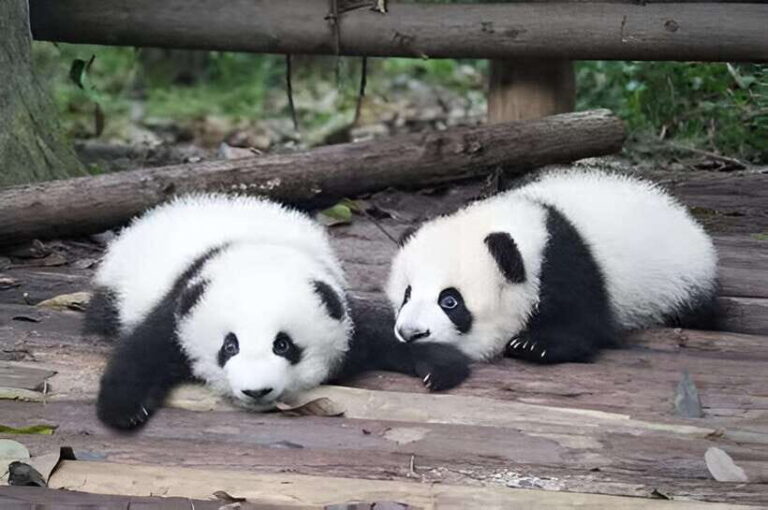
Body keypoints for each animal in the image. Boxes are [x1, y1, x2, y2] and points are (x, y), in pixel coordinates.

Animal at [86, 194, 470, 430]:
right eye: (229, 346)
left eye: (283, 345)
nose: (256, 391)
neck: (259, 250)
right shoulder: (183, 300)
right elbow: (144, 348)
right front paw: (125, 410)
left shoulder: (336, 303)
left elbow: (381, 332)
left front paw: (440, 366)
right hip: (118, 283)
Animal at [386, 170, 718, 364]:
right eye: (406, 294)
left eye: (450, 301)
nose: (410, 333)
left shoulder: (565, 262)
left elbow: (584, 322)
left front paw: (533, 345)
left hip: (679, 283)